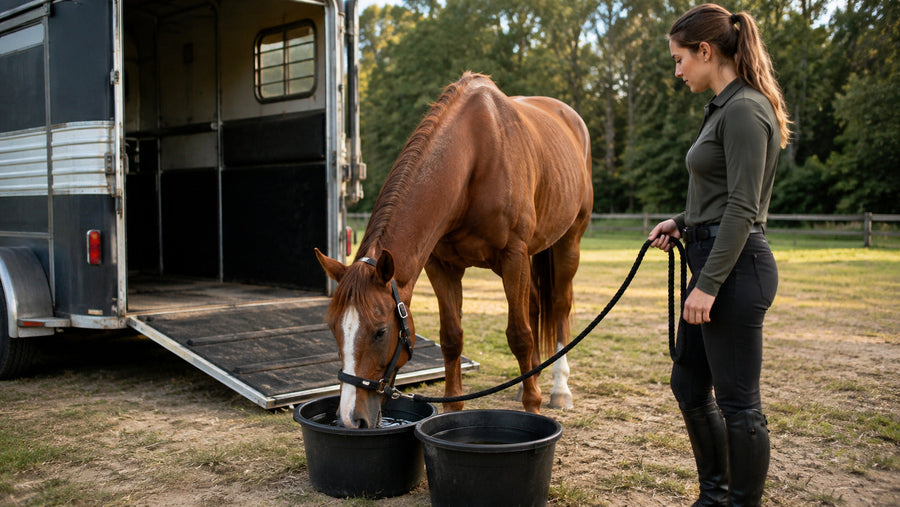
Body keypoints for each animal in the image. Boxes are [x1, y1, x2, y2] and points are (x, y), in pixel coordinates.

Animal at [315, 72, 593, 428]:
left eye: (380, 332)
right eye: (334, 328)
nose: (350, 419)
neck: (473, 157)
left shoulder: (513, 257)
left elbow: (519, 335)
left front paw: (533, 407)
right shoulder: (441, 265)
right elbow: (451, 337)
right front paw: (453, 407)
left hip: (568, 241)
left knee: (558, 307)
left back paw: (559, 389)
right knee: (533, 305)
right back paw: (527, 381)